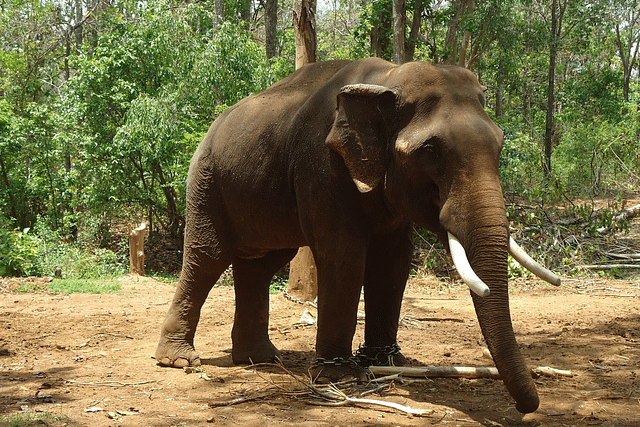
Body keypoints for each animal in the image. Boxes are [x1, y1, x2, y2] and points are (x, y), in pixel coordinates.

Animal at [156, 56, 560, 414]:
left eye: (500, 143)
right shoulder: (322, 164)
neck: (386, 79)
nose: (527, 407)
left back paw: (260, 358)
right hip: (207, 181)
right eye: (431, 150)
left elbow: (393, 260)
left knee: (261, 264)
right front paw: (337, 376)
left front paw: (388, 362)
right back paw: (180, 361)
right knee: (207, 258)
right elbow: (344, 253)